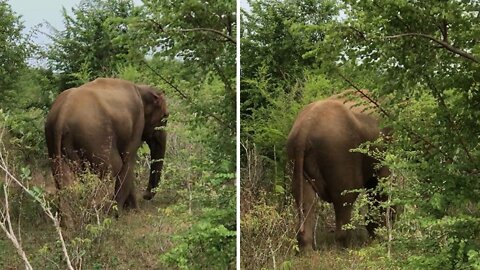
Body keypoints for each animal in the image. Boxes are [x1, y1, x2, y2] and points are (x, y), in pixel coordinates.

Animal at [45, 76, 169, 224]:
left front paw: (133, 211)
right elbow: (128, 161)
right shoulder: (137, 123)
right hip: (95, 136)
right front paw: (120, 215)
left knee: (64, 180)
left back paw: (68, 225)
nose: (145, 195)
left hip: (55, 142)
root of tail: (61, 116)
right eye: (165, 117)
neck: (141, 88)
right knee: (111, 167)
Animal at [286, 89, 388, 251]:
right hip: (339, 153)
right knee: (345, 197)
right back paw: (347, 247)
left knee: (305, 199)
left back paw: (307, 250)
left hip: (297, 159)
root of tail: (304, 130)